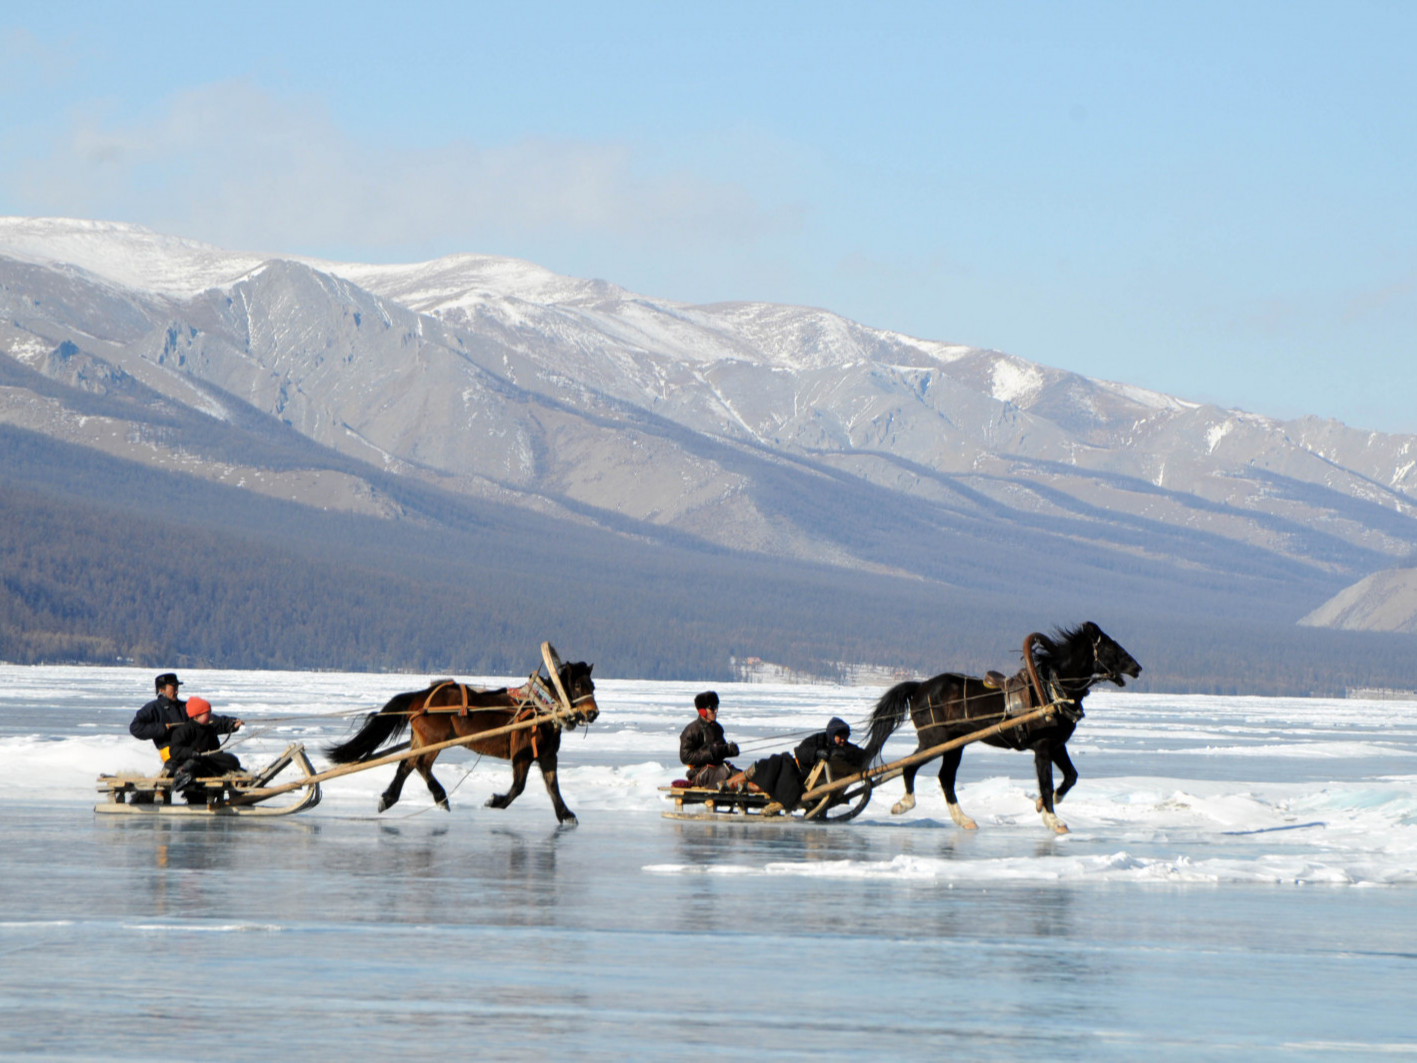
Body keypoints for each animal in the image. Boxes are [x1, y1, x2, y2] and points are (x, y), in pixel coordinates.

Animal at [324, 657, 595, 822]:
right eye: (578, 686)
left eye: (592, 685)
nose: (593, 712)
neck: (542, 707)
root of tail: (420, 696)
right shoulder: (523, 753)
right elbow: (518, 787)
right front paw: (495, 801)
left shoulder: (548, 755)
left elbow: (553, 786)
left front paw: (566, 814)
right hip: (434, 739)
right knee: (421, 764)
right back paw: (440, 797)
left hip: (421, 739)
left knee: (406, 765)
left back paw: (389, 798)